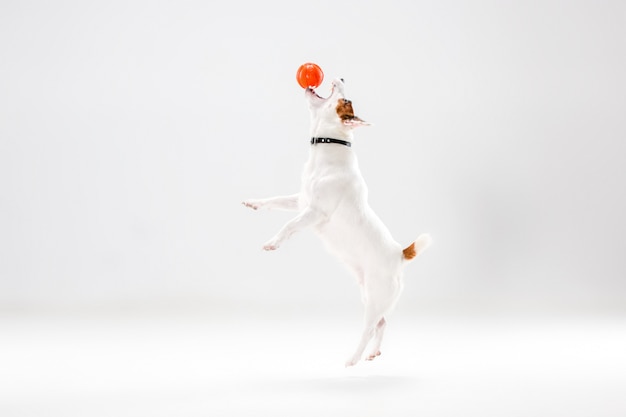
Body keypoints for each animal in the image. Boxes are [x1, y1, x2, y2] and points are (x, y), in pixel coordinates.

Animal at [243, 77, 428, 364]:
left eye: (346, 100)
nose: (340, 77)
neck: (328, 147)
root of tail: (400, 254)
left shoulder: (316, 212)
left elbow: (289, 225)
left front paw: (273, 243)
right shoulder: (301, 201)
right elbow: (275, 201)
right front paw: (254, 203)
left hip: (375, 297)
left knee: (369, 328)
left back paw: (353, 358)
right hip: (370, 294)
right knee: (382, 323)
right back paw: (373, 353)